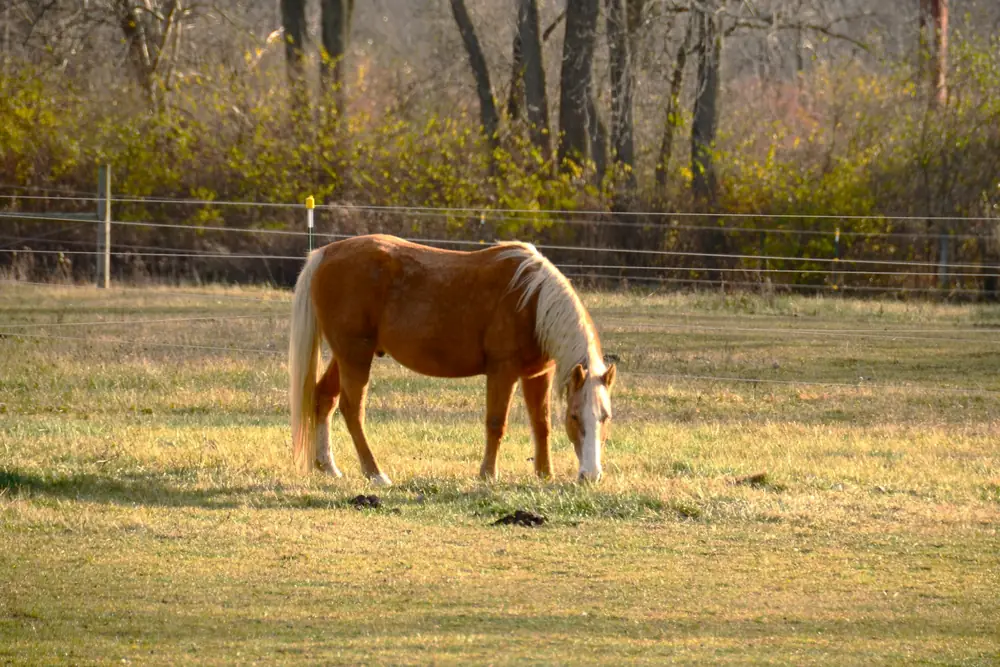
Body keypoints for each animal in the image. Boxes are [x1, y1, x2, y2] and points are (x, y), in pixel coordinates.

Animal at [288, 234, 616, 485]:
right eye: (575, 417)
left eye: (605, 417)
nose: (591, 475)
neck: (531, 300)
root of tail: (325, 253)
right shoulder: (503, 371)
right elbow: (496, 423)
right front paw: (487, 475)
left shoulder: (537, 374)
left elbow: (541, 423)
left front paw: (544, 474)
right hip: (355, 356)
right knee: (352, 409)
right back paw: (375, 473)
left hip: (346, 356)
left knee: (324, 399)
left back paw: (328, 466)